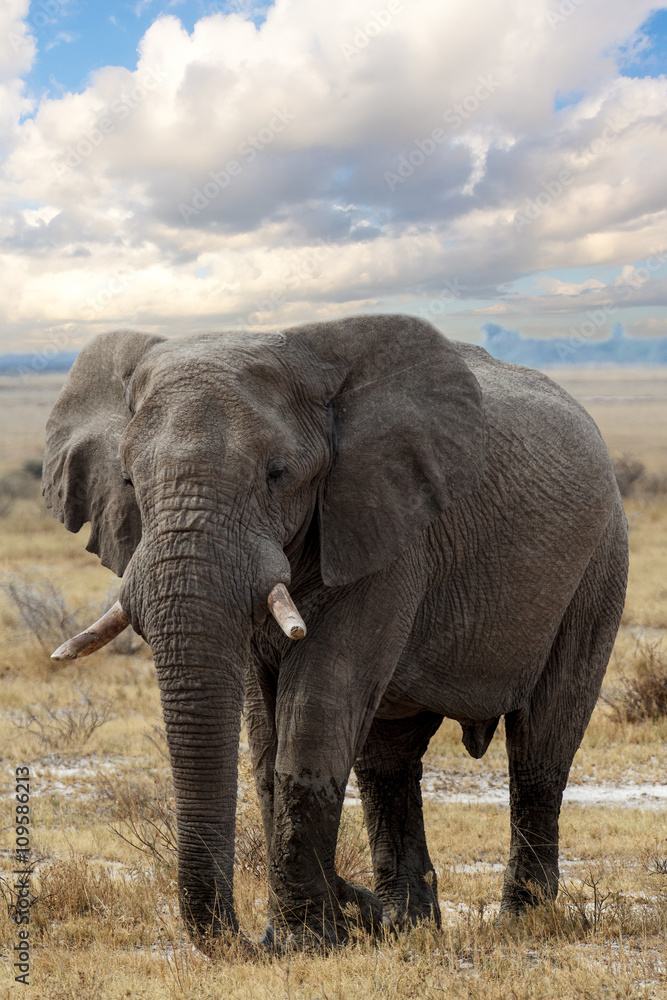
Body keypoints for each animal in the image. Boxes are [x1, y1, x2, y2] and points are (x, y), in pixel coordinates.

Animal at [42, 314, 628, 948]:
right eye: (127, 480)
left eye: (278, 475)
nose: (246, 939)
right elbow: (267, 733)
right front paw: (316, 931)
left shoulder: (386, 528)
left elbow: (317, 709)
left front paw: (305, 940)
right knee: (388, 759)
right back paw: (407, 924)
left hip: (599, 564)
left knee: (541, 744)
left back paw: (521, 921)